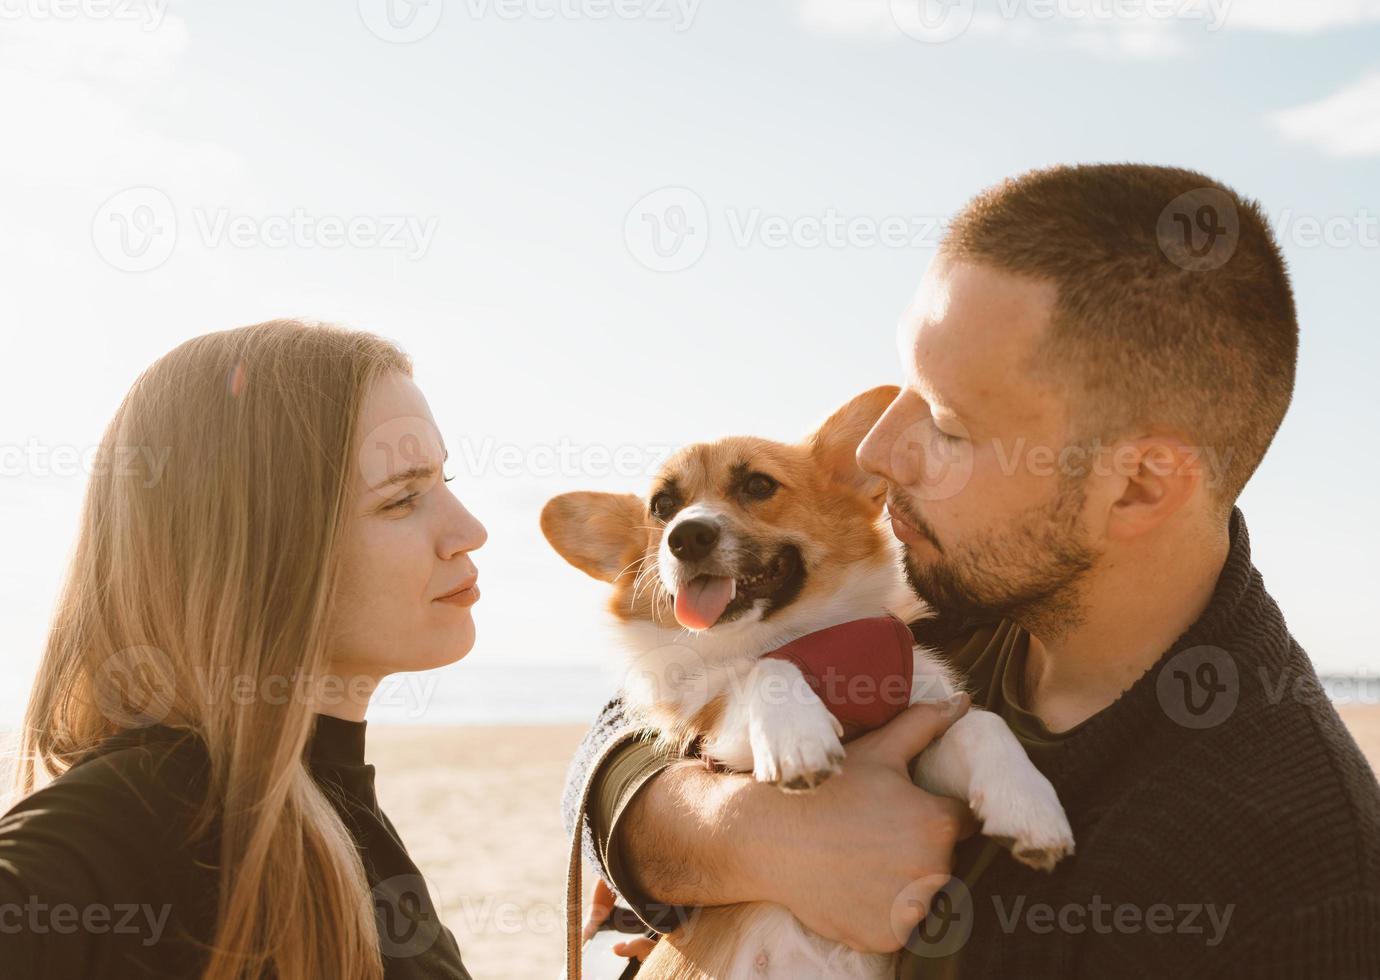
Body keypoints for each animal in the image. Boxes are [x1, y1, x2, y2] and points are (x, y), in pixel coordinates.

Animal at [540, 386, 1076, 980]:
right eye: (662, 506)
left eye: (758, 485)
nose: (686, 536)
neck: (798, 634)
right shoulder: (721, 742)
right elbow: (767, 669)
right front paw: (798, 738)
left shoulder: (923, 733)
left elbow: (980, 727)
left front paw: (1028, 806)